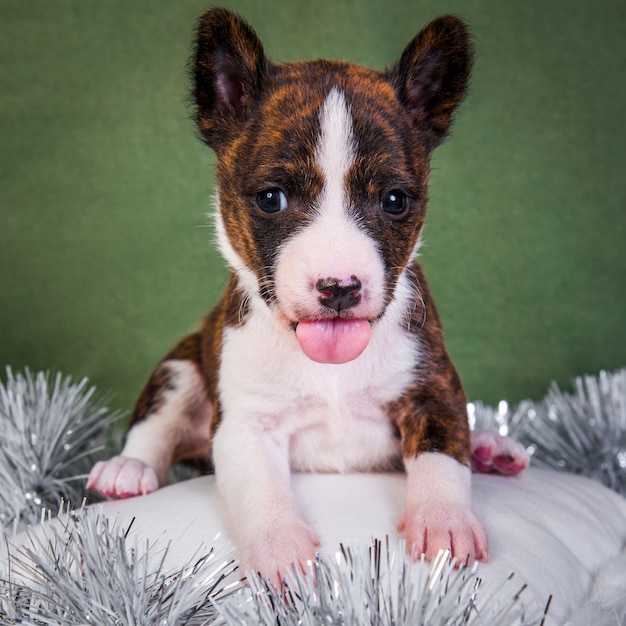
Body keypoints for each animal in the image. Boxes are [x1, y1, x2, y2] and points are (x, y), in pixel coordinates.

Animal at [86, 6, 528, 580]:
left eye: (394, 200)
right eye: (271, 199)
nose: (339, 287)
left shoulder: (434, 391)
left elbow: (441, 457)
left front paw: (444, 518)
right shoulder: (246, 427)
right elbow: (261, 493)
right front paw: (279, 548)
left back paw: (491, 448)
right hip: (179, 369)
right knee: (154, 426)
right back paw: (127, 469)